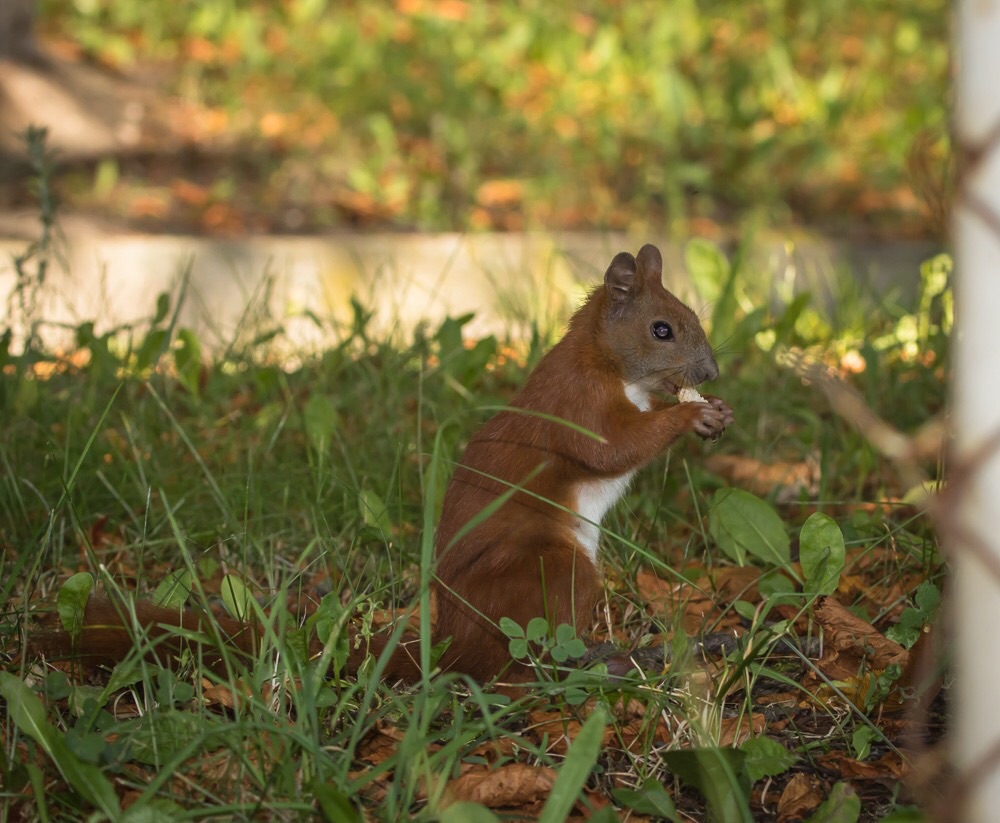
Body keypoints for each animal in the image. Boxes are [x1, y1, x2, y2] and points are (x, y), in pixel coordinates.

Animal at [33, 245, 736, 688]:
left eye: (694, 318)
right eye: (663, 329)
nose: (710, 373)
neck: (607, 364)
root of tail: (454, 640)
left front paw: (710, 411)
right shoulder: (579, 405)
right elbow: (612, 450)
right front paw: (690, 418)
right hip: (552, 573)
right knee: (515, 667)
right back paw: (590, 667)